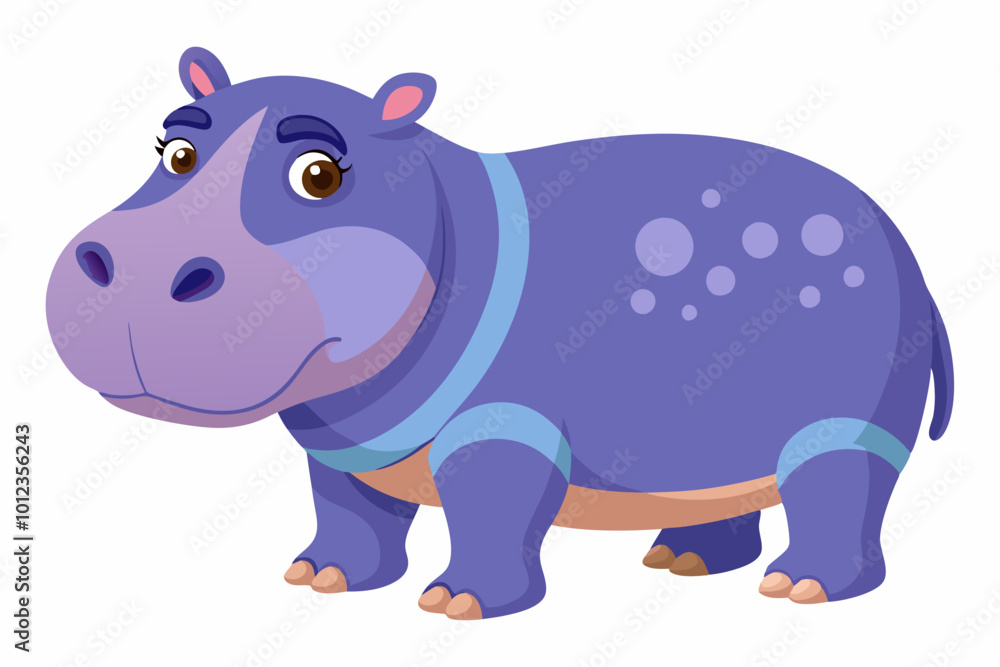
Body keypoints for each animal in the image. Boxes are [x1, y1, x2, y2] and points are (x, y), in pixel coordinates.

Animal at [46, 47, 954, 620]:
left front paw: (455, 606)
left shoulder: (503, 427)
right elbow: (350, 511)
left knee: (837, 488)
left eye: (320, 174)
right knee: (734, 494)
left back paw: (798, 589)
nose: (135, 267)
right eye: (173, 151)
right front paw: (318, 579)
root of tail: (909, 250)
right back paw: (682, 561)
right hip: (720, 447)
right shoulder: (343, 444)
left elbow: (491, 504)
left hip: (844, 423)